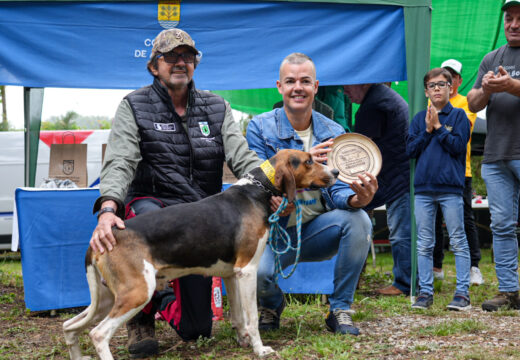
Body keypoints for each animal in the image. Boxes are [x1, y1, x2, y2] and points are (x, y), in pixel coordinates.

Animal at [63, 149, 340, 360]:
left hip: (107, 299)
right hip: (137, 292)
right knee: (98, 334)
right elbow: (251, 317)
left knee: (69, 328)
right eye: (308, 161)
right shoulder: (247, 271)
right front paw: (259, 349)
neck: (257, 190)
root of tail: (102, 236)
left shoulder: (232, 275)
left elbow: (239, 316)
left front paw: (242, 341)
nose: (336, 173)